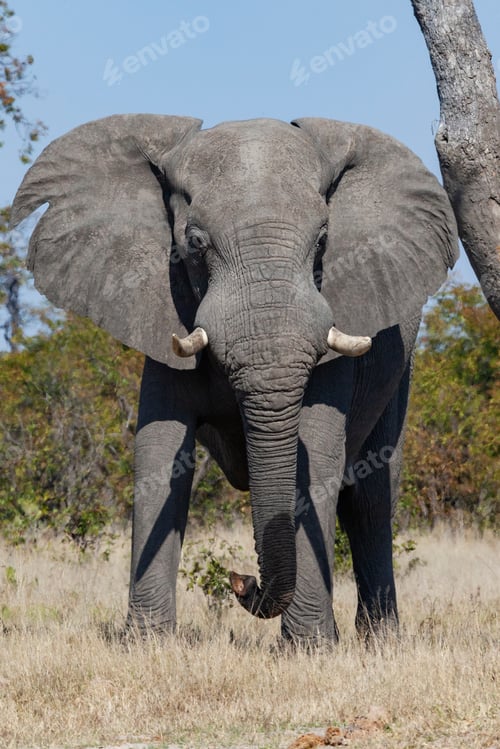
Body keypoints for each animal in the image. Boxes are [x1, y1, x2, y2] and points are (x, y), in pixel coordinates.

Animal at [12, 115, 459, 643]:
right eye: (195, 244)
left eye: (323, 242)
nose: (240, 580)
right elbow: (159, 455)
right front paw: (146, 642)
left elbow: (318, 457)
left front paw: (307, 650)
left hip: (402, 364)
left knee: (370, 496)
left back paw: (379, 641)